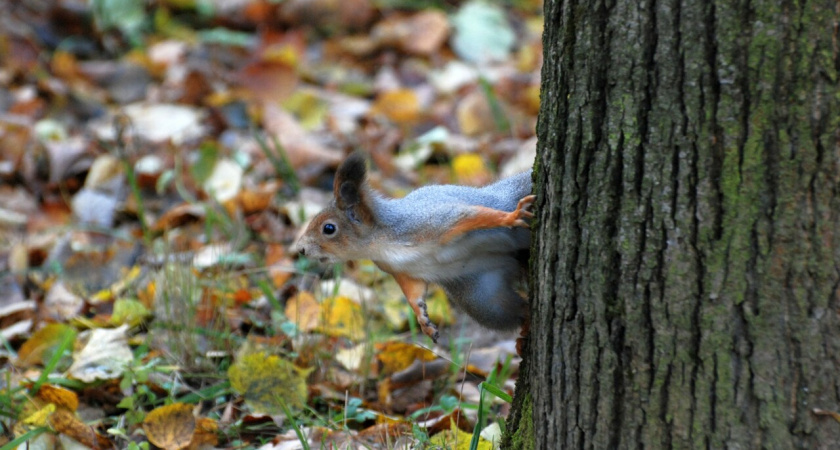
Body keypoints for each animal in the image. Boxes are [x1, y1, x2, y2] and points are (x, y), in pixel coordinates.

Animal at [294, 153, 532, 342]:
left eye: (329, 228)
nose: (301, 249)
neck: (382, 243)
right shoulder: (401, 270)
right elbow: (413, 292)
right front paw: (422, 319)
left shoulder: (431, 223)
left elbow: (470, 215)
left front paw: (510, 217)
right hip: (484, 300)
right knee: (515, 310)